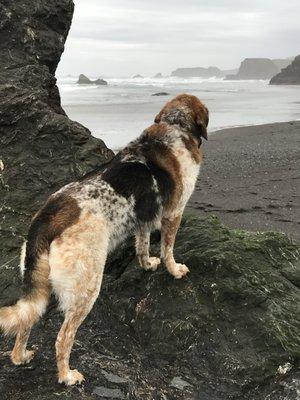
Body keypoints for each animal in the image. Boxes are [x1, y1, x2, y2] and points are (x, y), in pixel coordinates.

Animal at [0, 93, 209, 384]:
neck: (173, 128)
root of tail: (47, 218)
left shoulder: (143, 217)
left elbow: (142, 244)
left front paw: (147, 264)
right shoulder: (173, 214)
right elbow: (168, 249)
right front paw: (174, 270)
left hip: (39, 283)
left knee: (26, 321)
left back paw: (20, 357)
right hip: (87, 287)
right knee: (63, 338)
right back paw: (67, 375)